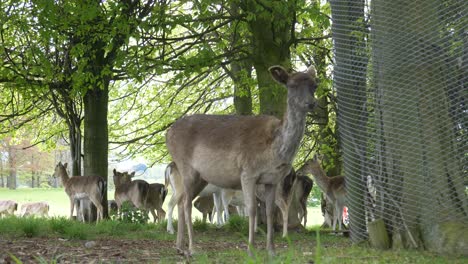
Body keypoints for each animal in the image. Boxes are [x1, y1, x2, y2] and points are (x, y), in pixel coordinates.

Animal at [165, 64, 318, 256]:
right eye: (291, 85)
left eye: (315, 85)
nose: (311, 103)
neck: (273, 151)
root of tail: (168, 133)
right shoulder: (248, 172)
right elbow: (251, 210)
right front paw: (251, 250)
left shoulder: (273, 179)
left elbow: (269, 211)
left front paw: (271, 251)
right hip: (186, 168)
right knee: (186, 204)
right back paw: (192, 248)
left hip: (201, 177)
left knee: (181, 202)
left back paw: (179, 247)